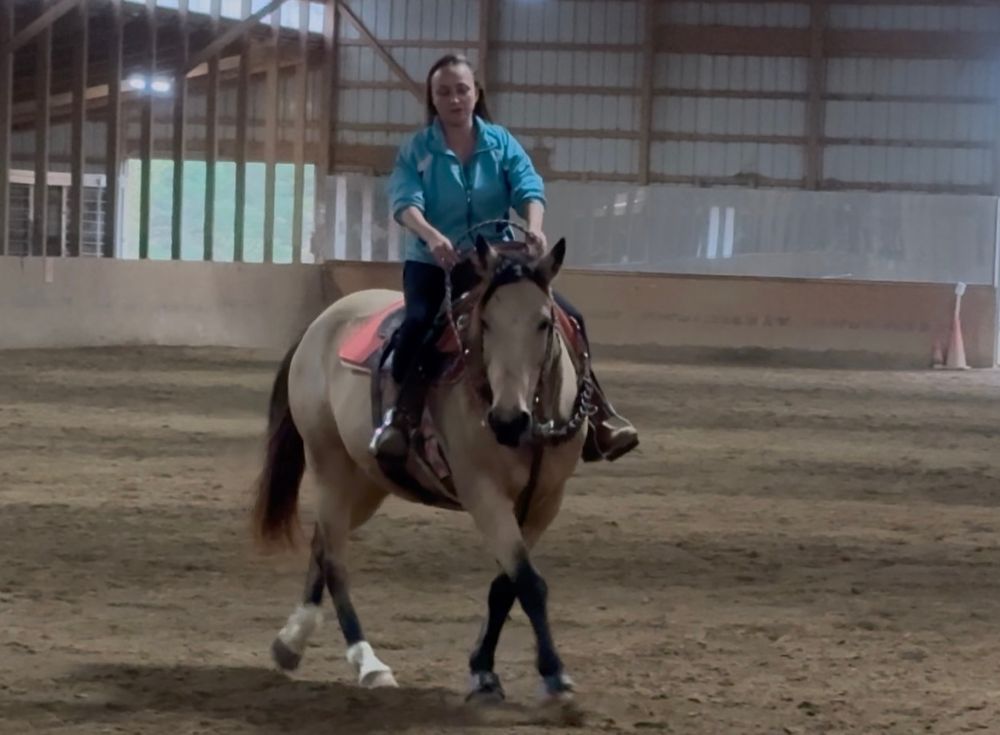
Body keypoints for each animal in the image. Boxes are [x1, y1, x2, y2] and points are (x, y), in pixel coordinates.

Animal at [251, 233, 594, 705]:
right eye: (486, 322)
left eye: (544, 322)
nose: (508, 419)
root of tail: (319, 325)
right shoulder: (483, 494)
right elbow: (528, 582)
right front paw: (555, 676)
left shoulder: (545, 501)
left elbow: (506, 585)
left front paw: (484, 671)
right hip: (329, 463)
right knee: (335, 559)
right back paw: (368, 663)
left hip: (367, 481)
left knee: (322, 543)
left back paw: (292, 640)